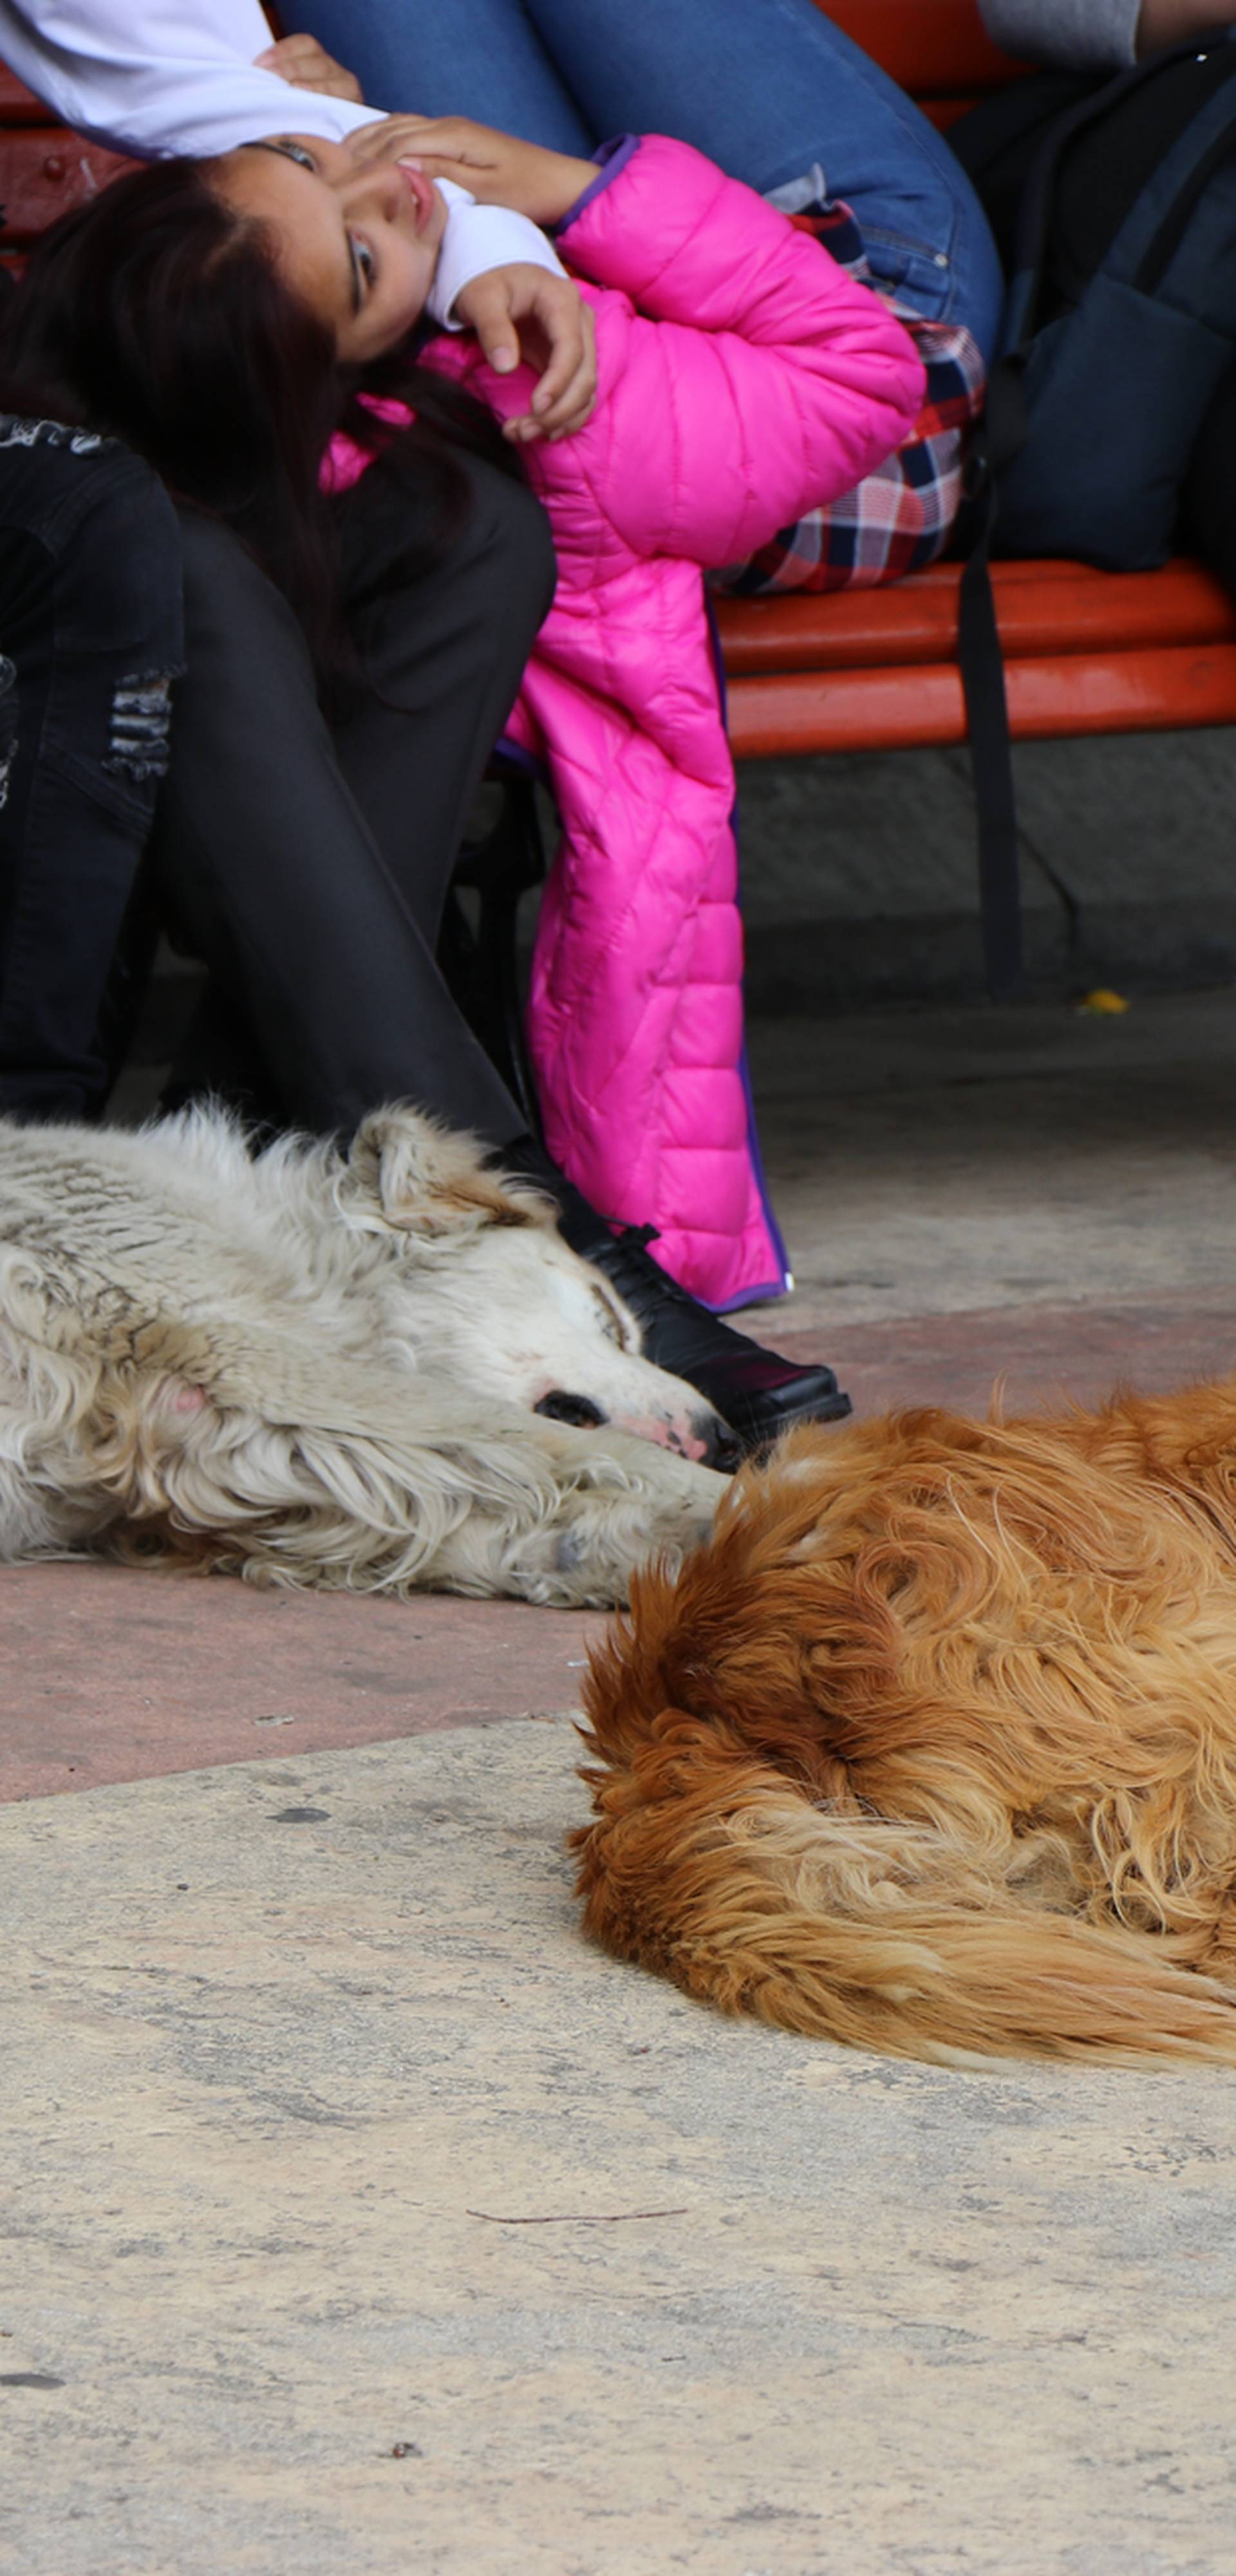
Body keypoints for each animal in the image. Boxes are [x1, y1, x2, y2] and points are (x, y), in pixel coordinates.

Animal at [0, 1108, 731, 1607]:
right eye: (610, 1316)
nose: (724, 1436)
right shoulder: (239, 1356)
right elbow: (574, 1445)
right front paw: (739, 1502)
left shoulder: (204, 1444)